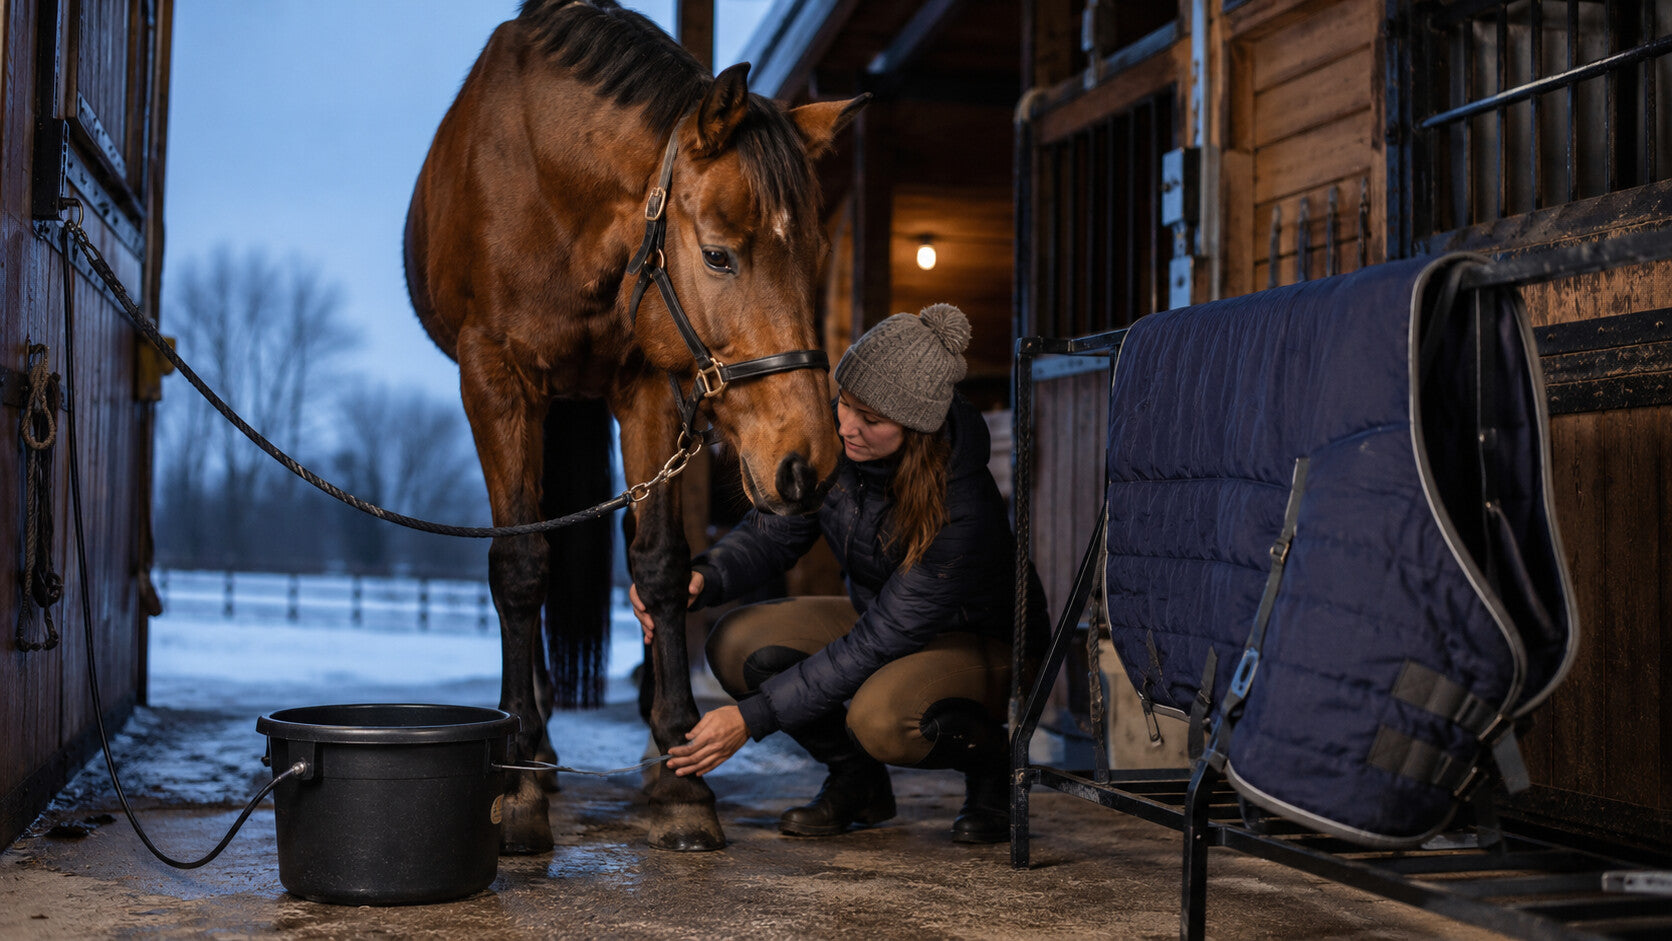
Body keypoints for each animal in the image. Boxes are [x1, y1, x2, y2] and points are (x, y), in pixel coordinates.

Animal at [403, 0, 864, 853]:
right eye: (717, 255)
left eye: (817, 250)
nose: (808, 463)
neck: (556, 190)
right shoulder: (495, 380)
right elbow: (520, 564)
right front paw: (516, 781)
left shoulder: (645, 382)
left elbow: (658, 563)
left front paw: (680, 772)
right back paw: (537, 742)